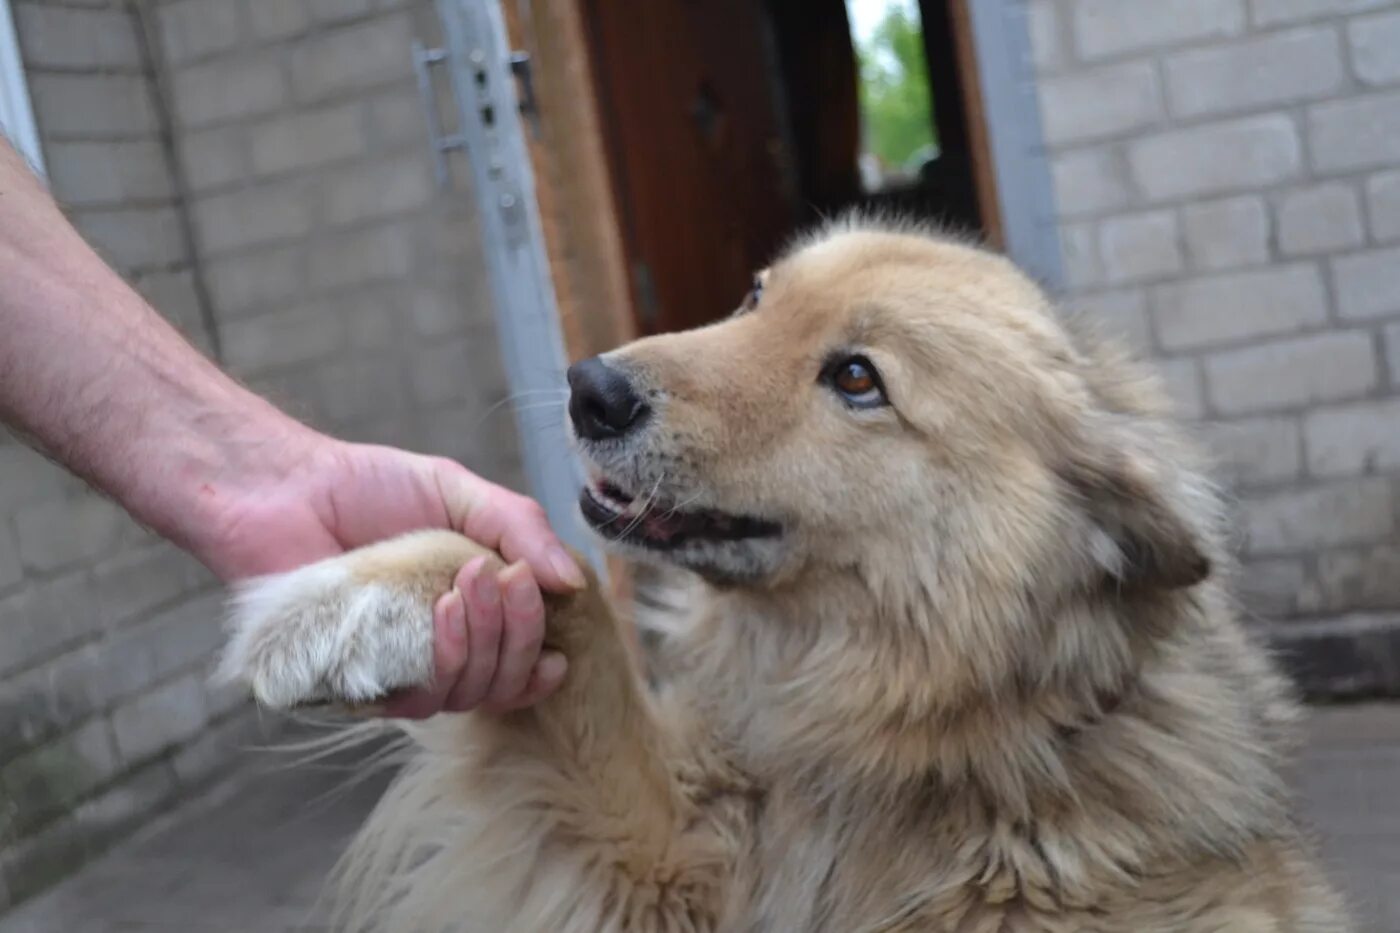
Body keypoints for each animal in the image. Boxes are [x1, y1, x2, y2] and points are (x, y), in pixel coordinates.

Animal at [218, 219, 1344, 930]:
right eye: (757, 294)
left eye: (856, 379)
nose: (590, 389)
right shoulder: (660, 869)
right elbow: (567, 590)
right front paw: (358, 600)